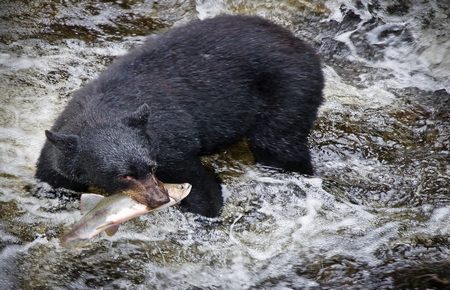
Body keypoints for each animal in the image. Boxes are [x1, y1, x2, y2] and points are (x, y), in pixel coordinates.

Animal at [36, 14, 324, 216]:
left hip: (290, 90)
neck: (100, 111)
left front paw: (205, 211)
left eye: (151, 166)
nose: (159, 199)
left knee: (279, 144)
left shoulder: (170, 144)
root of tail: (305, 46)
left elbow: (198, 182)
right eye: (123, 175)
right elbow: (51, 179)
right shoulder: (59, 153)